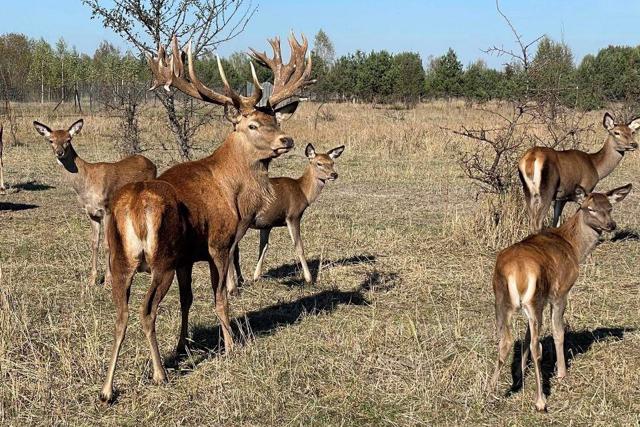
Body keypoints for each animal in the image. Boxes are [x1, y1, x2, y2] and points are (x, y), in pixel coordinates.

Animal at [33, 119, 157, 288]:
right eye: (50, 140)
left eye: (68, 139)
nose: (60, 153)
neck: (86, 187)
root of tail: (153, 164)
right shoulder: (91, 213)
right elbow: (94, 243)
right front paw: (92, 280)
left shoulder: (107, 209)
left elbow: (107, 244)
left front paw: (108, 281)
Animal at [100, 34, 316, 404]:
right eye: (252, 124)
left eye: (277, 121)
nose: (286, 140)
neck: (232, 188)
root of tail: (135, 207)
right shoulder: (219, 243)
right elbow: (221, 297)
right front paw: (230, 345)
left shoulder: (187, 257)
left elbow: (187, 301)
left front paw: (183, 345)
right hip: (160, 260)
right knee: (146, 311)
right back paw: (159, 374)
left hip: (121, 259)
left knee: (121, 314)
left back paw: (107, 388)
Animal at [234, 142, 344, 286]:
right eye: (319, 163)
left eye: (332, 162)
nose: (334, 174)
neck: (303, 192)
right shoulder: (293, 216)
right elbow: (299, 246)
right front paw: (309, 278)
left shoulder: (267, 224)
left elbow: (263, 247)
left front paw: (256, 276)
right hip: (243, 220)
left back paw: (240, 280)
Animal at [492, 183, 632, 412]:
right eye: (589, 208)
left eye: (610, 207)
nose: (611, 225)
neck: (573, 246)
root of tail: (516, 270)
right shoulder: (561, 292)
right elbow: (558, 332)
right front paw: (561, 373)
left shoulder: (541, 301)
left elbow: (525, 336)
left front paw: (521, 372)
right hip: (533, 299)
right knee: (536, 346)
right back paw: (541, 400)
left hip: (502, 299)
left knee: (505, 340)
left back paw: (490, 391)